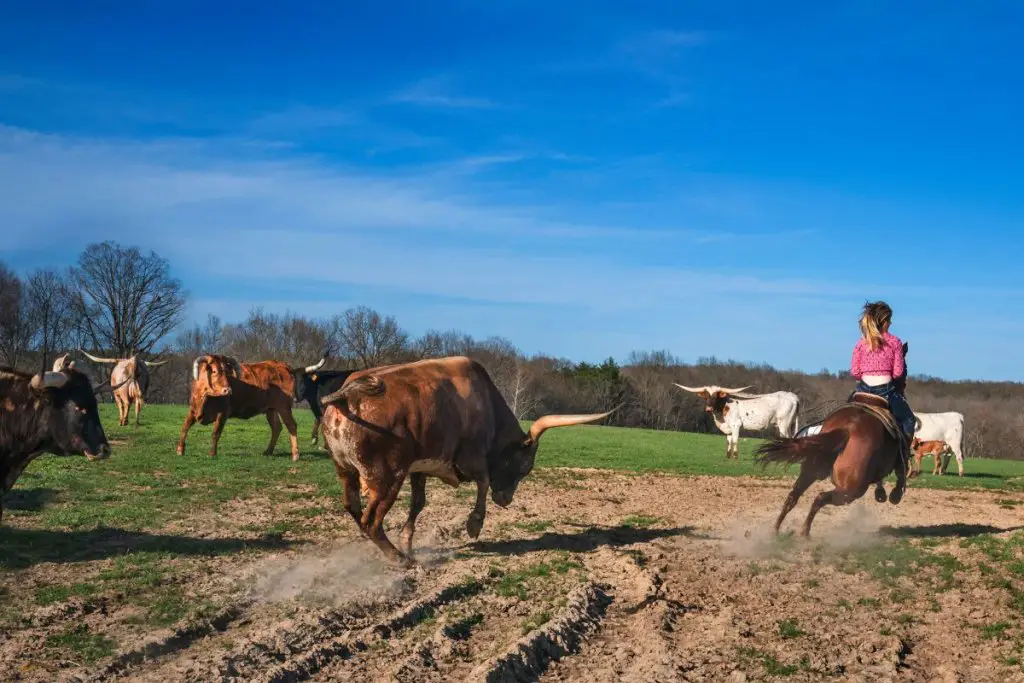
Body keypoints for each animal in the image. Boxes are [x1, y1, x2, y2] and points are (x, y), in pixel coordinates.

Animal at [317, 358, 614, 565]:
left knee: (353, 507)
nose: (505, 500)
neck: (487, 406)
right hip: (387, 477)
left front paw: (408, 539)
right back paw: (399, 559)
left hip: (346, 470)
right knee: (371, 521)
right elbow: (483, 481)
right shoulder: (470, 458)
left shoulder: (419, 467)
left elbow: (418, 503)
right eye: (524, 468)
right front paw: (474, 524)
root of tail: (347, 395)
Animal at [753, 344, 913, 536]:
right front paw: (894, 494)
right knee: (820, 498)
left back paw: (774, 531)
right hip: (851, 491)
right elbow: (901, 471)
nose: (904, 385)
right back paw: (804, 532)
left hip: (811, 470)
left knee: (793, 496)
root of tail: (847, 428)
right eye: (905, 368)